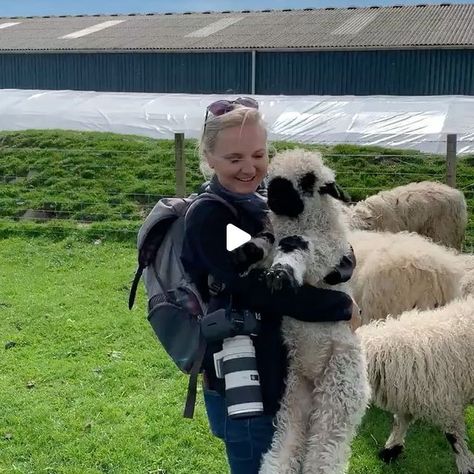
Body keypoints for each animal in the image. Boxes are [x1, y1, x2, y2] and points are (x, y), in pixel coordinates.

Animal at [256, 148, 370, 474]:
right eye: (270, 175)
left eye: (309, 181)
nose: (275, 192)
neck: (301, 223)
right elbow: (269, 245)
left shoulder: (330, 251)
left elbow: (302, 248)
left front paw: (283, 274)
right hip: (295, 393)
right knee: (289, 437)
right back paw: (275, 466)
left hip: (340, 387)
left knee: (326, 446)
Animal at [358, 296, 474, 474]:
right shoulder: (407, 395)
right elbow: (399, 423)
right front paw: (391, 450)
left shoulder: (447, 404)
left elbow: (454, 438)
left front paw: (465, 465)